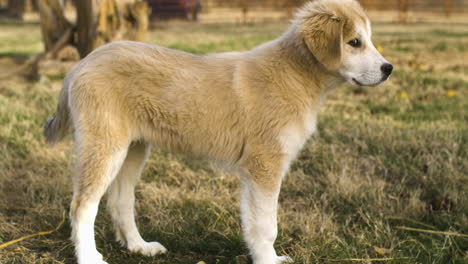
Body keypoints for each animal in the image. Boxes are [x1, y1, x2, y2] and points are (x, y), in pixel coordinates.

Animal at [45, 1, 394, 262]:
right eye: (354, 42)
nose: (388, 69)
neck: (295, 74)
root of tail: (81, 64)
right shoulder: (265, 166)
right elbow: (267, 225)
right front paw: (268, 259)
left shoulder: (254, 172)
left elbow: (254, 223)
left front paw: (265, 256)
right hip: (104, 147)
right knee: (82, 207)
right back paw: (89, 257)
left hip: (133, 149)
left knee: (120, 202)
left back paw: (140, 247)